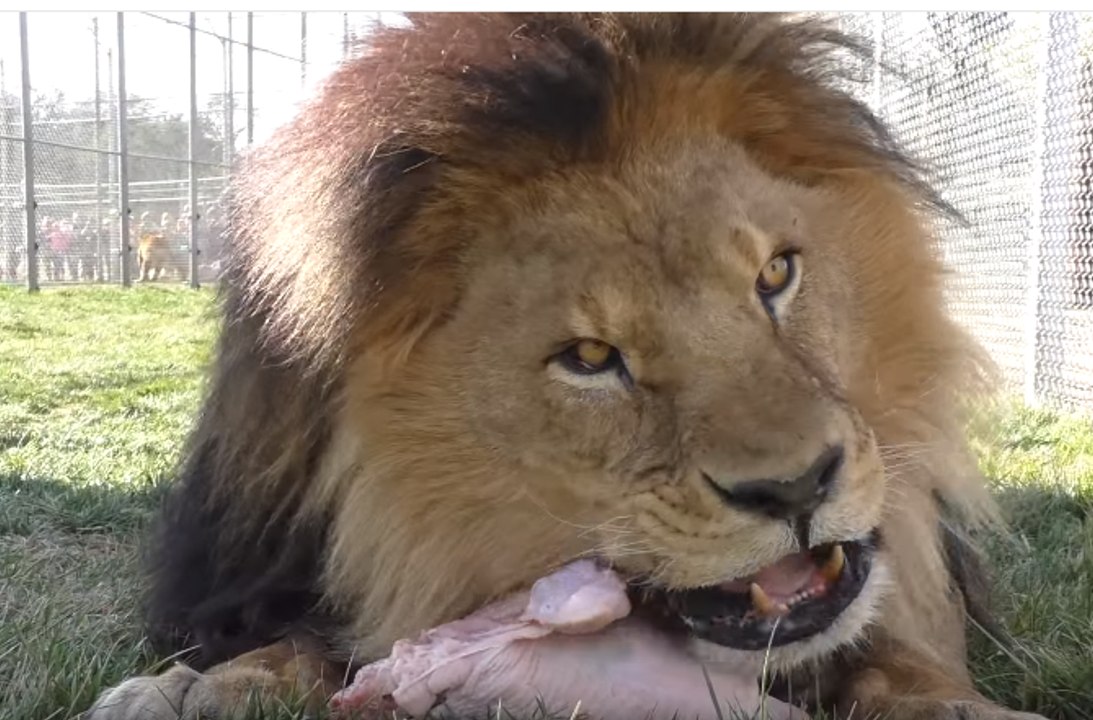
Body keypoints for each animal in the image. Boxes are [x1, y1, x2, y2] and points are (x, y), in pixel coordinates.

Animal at [87, 13, 1047, 720]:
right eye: (589, 358)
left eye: (776, 274)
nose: (795, 488)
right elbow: (296, 641)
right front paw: (203, 687)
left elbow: (905, 666)